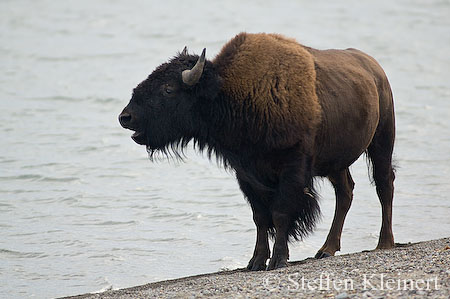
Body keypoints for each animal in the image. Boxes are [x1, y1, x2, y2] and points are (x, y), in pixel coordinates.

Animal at [118, 32, 396, 272]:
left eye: (168, 89)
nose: (125, 117)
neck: (230, 91)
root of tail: (376, 70)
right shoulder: (246, 174)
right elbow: (260, 217)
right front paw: (256, 262)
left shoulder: (291, 169)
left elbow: (281, 213)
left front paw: (279, 260)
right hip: (336, 163)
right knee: (345, 192)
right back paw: (326, 249)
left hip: (382, 140)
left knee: (384, 185)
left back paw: (384, 243)